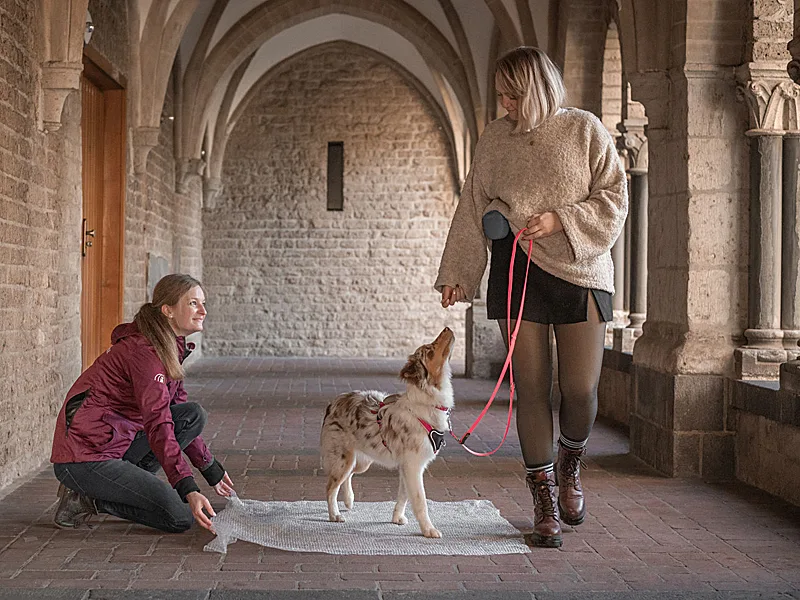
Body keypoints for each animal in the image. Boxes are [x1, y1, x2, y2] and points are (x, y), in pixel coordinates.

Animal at [320, 328, 456, 540]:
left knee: (348, 476)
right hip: (343, 459)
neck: (426, 403)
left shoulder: (407, 466)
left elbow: (404, 495)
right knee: (330, 486)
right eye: (430, 350)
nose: (448, 328)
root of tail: (334, 402)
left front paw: (397, 518)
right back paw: (334, 514)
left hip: (361, 461)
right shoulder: (413, 466)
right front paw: (428, 529)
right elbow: (419, 500)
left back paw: (349, 500)